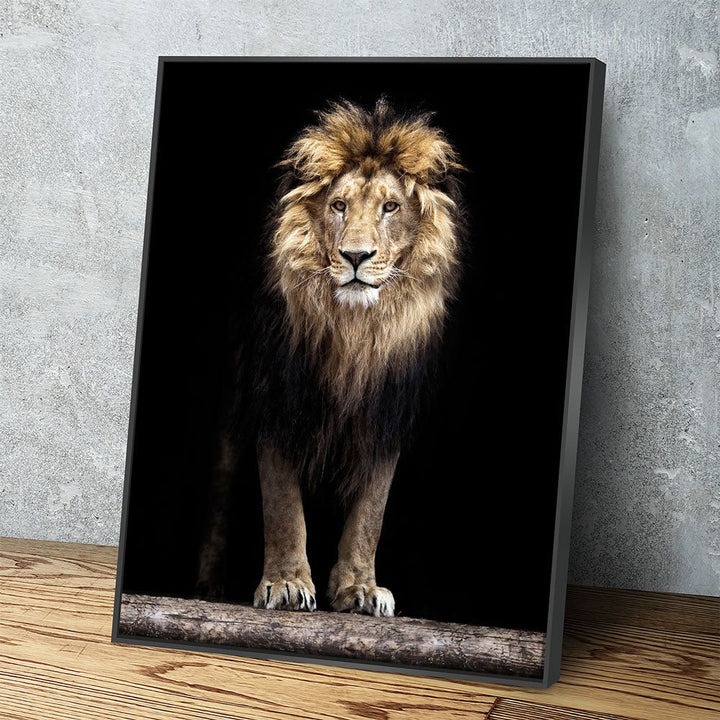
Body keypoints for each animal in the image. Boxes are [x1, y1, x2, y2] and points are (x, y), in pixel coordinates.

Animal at [198, 97, 466, 618]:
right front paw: (285, 583)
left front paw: (360, 588)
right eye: (339, 206)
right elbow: (283, 505)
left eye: (390, 207)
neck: (354, 333)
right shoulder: (277, 397)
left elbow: (370, 513)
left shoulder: (385, 414)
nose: (356, 256)